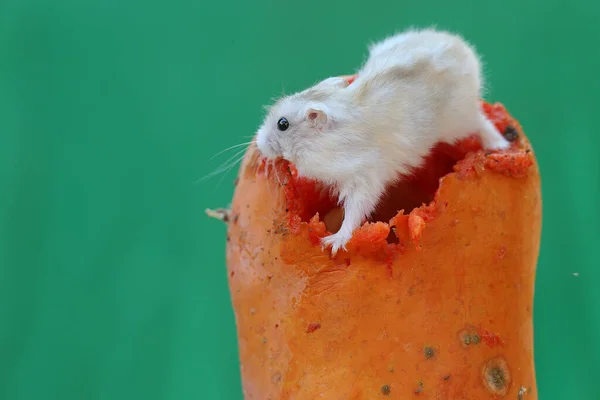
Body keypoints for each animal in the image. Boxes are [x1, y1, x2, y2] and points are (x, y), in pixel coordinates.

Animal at [253, 28, 510, 255]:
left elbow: (354, 212)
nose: (259, 144)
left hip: (458, 120)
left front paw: (333, 243)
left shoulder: (364, 178)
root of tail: (462, 47)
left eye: (283, 124)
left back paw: (499, 146)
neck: (327, 142)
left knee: (481, 121)